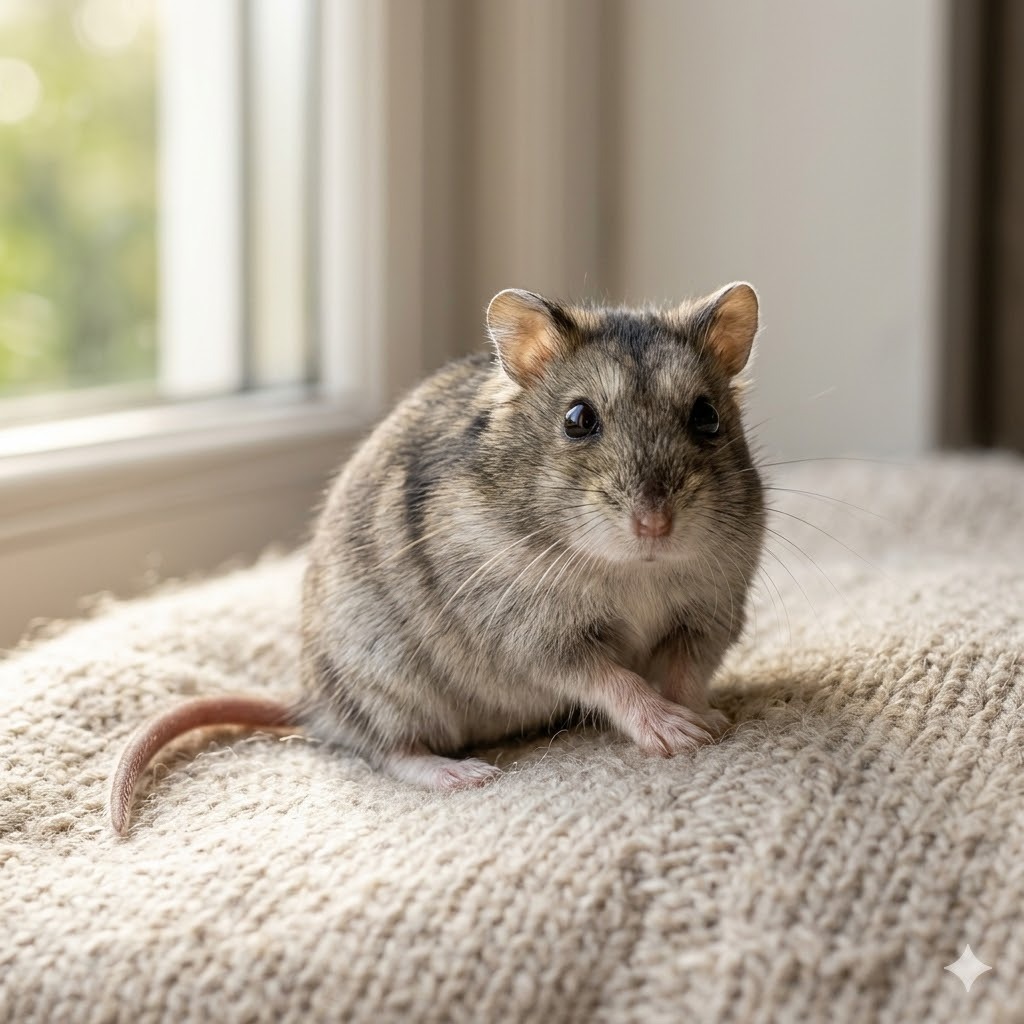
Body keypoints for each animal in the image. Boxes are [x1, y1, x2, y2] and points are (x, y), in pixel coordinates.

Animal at [109, 282, 765, 835]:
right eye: (579, 419)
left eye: (706, 416)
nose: (655, 525)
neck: (635, 569)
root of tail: (313, 702)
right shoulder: (535, 636)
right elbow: (612, 679)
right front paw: (674, 732)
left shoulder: (710, 615)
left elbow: (682, 672)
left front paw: (706, 722)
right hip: (391, 682)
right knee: (389, 750)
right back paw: (463, 774)